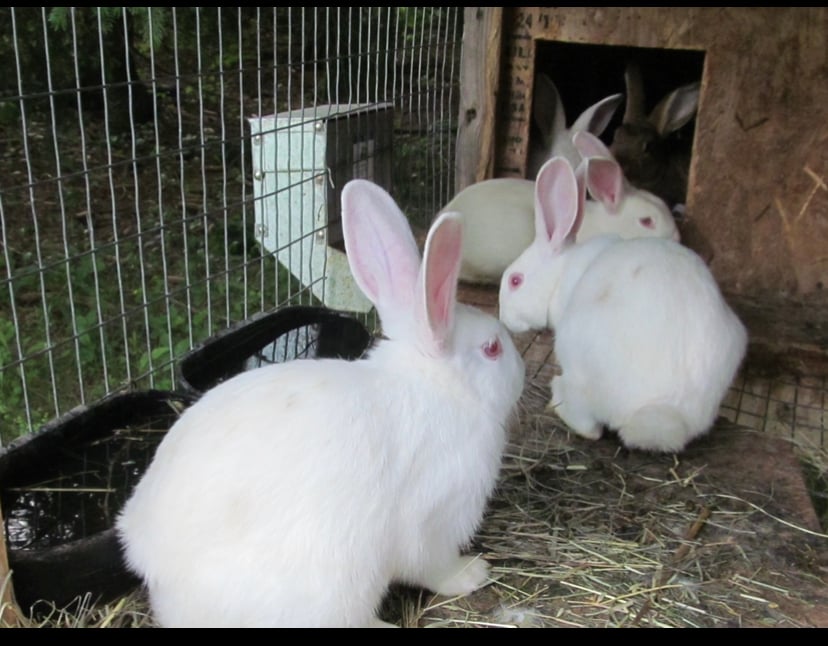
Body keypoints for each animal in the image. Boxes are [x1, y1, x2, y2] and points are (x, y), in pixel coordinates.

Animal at [115, 179, 526, 627]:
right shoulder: (432, 522)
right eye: (492, 349)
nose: (522, 372)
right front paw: (474, 572)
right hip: (337, 582)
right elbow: (432, 567)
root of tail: (150, 563)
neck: (438, 388)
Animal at [498, 156, 747, 453]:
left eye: (515, 281)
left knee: (588, 426)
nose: (503, 316)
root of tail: (665, 414)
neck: (561, 271)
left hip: (574, 351)